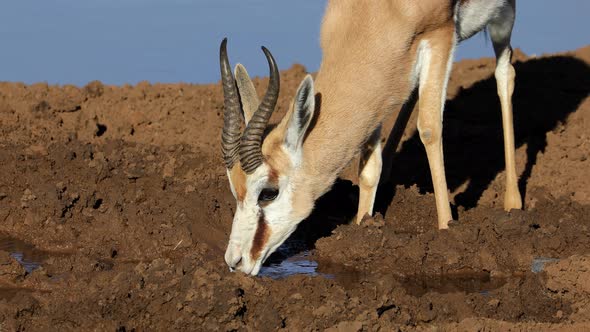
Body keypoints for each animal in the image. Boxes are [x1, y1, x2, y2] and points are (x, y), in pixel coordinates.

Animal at [221, 0, 524, 274]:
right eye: (234, 190)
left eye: (268, 192)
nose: (234, 261)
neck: (378, 10)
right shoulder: (381, 87)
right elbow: (368, 166)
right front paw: (360, 231)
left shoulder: (441, 34)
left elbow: (429, 129)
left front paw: (447, 231)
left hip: (502, 17)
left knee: (505, 74)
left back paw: (513, 204)